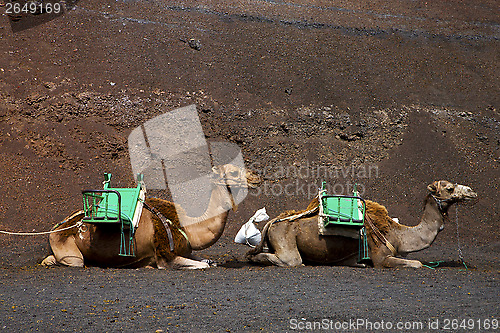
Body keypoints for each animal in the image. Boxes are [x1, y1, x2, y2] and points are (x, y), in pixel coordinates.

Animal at [42, 165, 262, 268]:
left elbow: (208, 261)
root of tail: (56, 228)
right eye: (233, 172)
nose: (257, 176)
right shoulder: (165, 256)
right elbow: (202, 266)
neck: (188, 226)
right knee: (74, 261)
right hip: (70, 252)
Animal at [248, 180, 478, 268]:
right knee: (292, 260)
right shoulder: (381, 258)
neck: (400, 235)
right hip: (285, 239)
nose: (472, 192)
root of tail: (273, 221)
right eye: (449, 188)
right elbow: (417, 264)